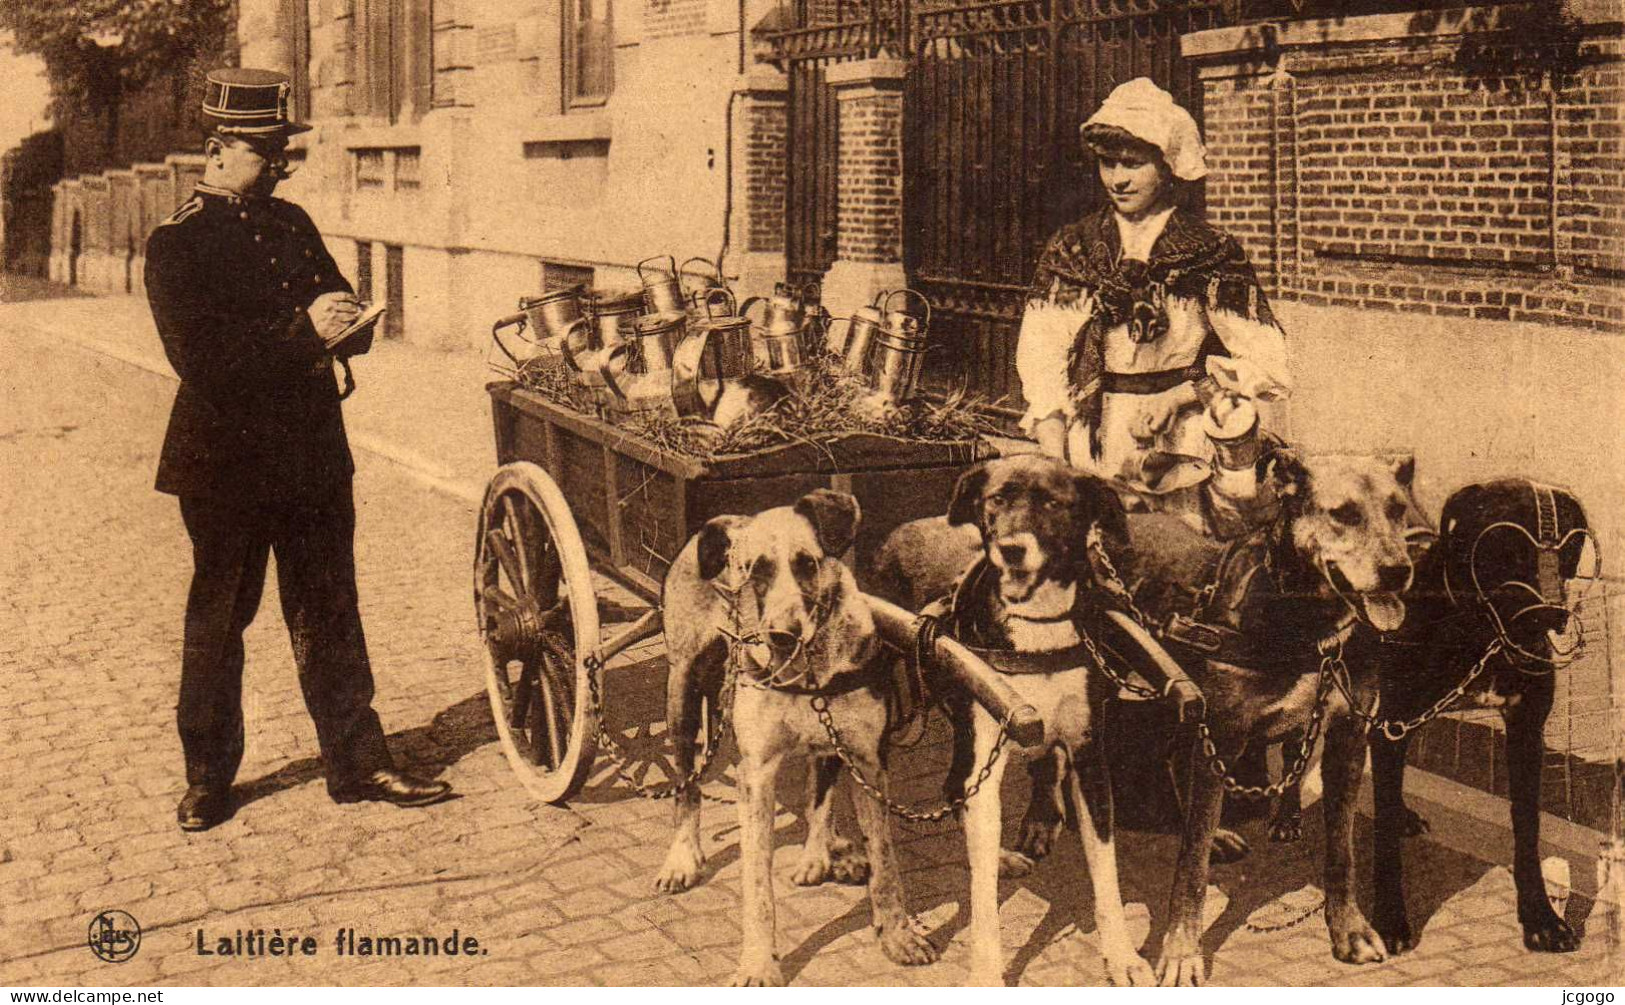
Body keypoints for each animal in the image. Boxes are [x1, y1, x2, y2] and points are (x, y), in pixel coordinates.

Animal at [659, 487, 942, 982]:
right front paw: (758, 962)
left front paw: (897, 936)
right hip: (682, 691)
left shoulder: (869, 762)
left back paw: (820, 853)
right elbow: (757, 884)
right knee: (686, 784)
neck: (809, 669)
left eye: (807, 563)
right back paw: (683, 856)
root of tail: (722, 518)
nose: (782, 635)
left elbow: (885, 862)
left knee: (820, 787)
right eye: (755, 570)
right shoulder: (756, 774)